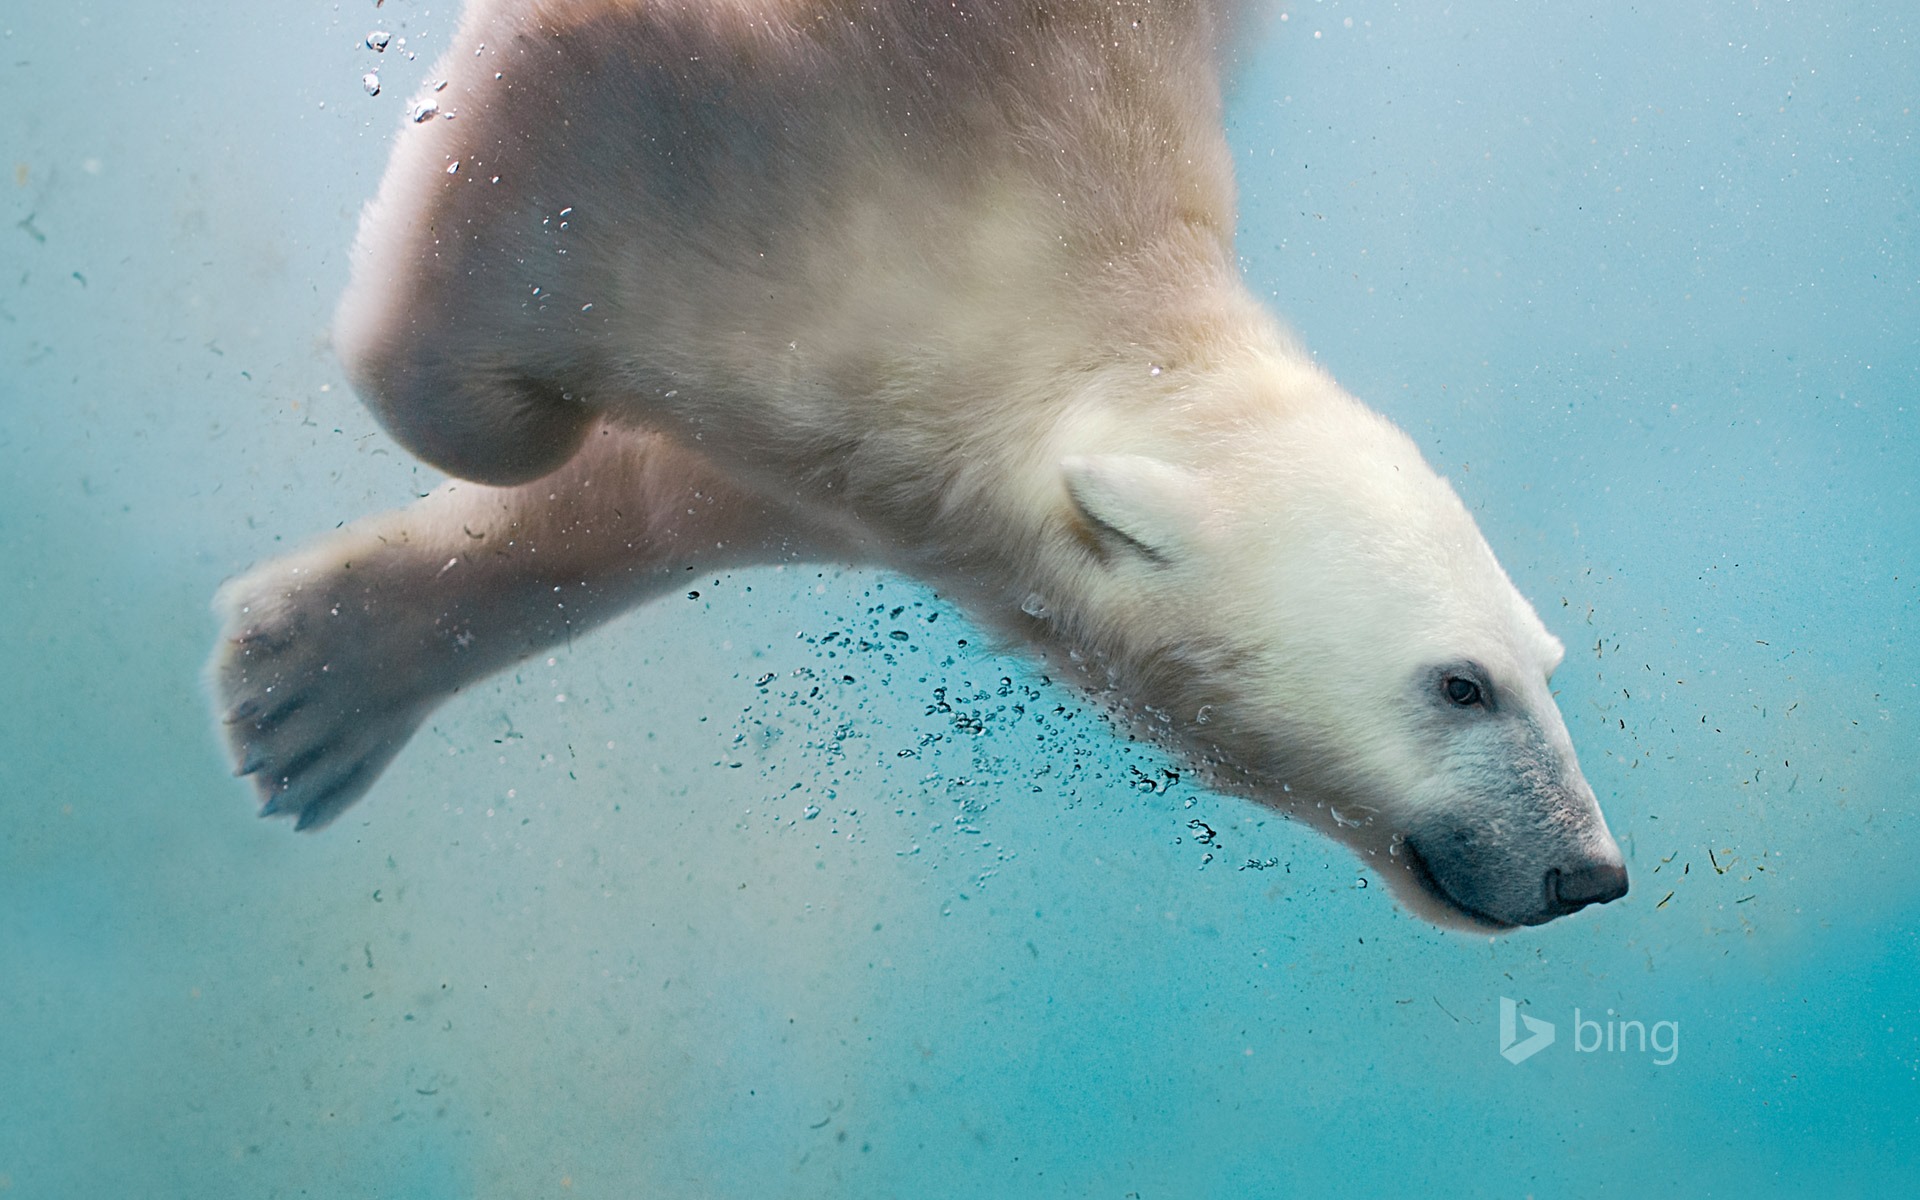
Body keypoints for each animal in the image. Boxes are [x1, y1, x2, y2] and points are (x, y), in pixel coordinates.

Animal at [210, 0, 1628, 925]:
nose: (1590, 873)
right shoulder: (750, 119)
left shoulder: (868, 442)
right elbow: (501, 367)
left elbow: (680, 489)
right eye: (1460, 685)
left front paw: (307, 689)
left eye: (1544, 664)